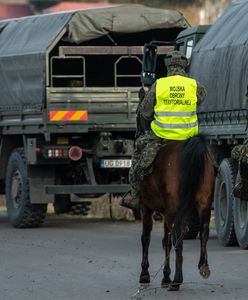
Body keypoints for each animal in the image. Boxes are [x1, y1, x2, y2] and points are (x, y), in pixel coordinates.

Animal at [140, 135, 215, 290]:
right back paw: (203, 266)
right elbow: (166, 241)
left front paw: (145, 274)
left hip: (173, 211)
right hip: (204, 204)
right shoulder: (164, 210)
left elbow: (146, 238)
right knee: (203, 232)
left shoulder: (146, 206)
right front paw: (165, 276)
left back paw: (176, 281)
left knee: (178, 238)